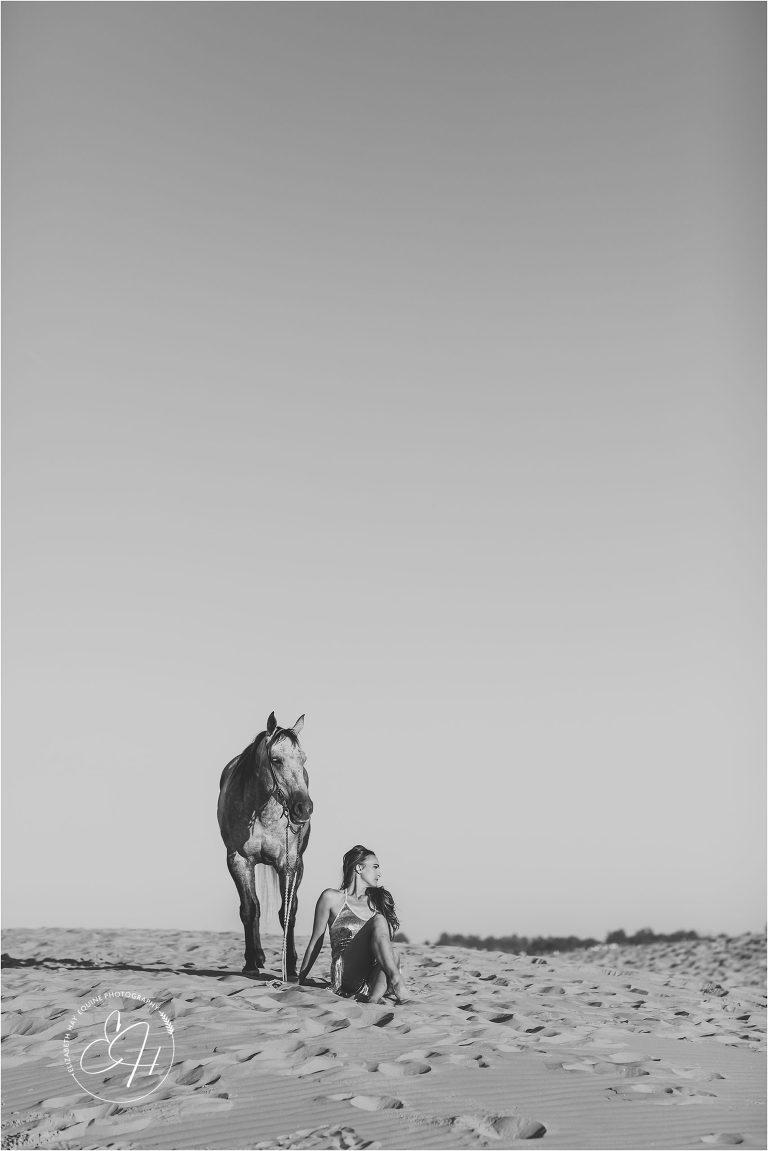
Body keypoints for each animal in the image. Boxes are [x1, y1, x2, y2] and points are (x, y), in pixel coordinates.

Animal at [217, 711, 313, 978]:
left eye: (303, 759)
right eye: (275, 760)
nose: (304, 808)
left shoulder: (291, 864)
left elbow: (288, 911)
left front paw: (290, 966)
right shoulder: (238, 861)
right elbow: (250, 909)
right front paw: (250, 963)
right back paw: (258, 957)